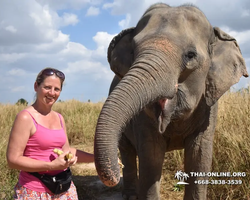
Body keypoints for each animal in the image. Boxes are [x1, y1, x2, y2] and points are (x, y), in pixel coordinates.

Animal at [93, 3, 248, 200]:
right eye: (133, 51)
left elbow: (200, 155)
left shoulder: (209, 105)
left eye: (190, 55)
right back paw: (130, 195)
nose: (112, 175)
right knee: (127, 153)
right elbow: (151, 157)